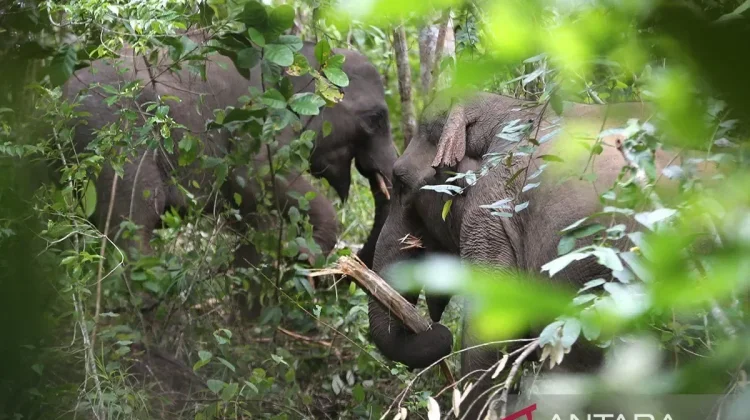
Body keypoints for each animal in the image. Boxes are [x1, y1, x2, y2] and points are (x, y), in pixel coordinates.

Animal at [64, 40, 396, 318]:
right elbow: (253, 179)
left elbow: (250, 217)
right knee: (137, 214)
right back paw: (150, 306)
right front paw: (304, 264)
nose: (332, 279)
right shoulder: (262, 126)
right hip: (116, 138)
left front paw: (248, 312)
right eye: (376, 118)